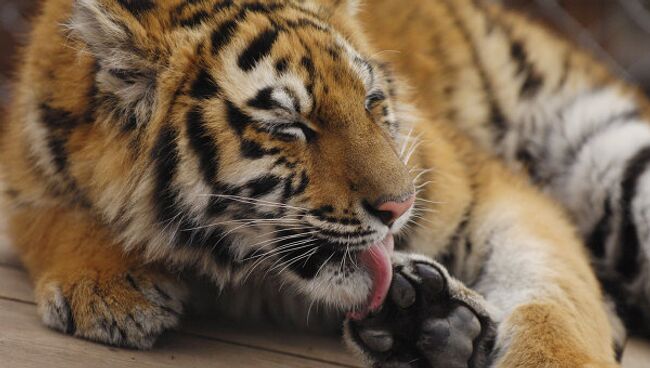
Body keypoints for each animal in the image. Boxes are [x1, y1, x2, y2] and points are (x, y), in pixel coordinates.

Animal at [1, 0, 636, 366]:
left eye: (372, 101)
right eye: (290, 125)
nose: (400, 205)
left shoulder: (490, 188)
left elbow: (556, 294)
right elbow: (48, 216)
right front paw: (109, 290)